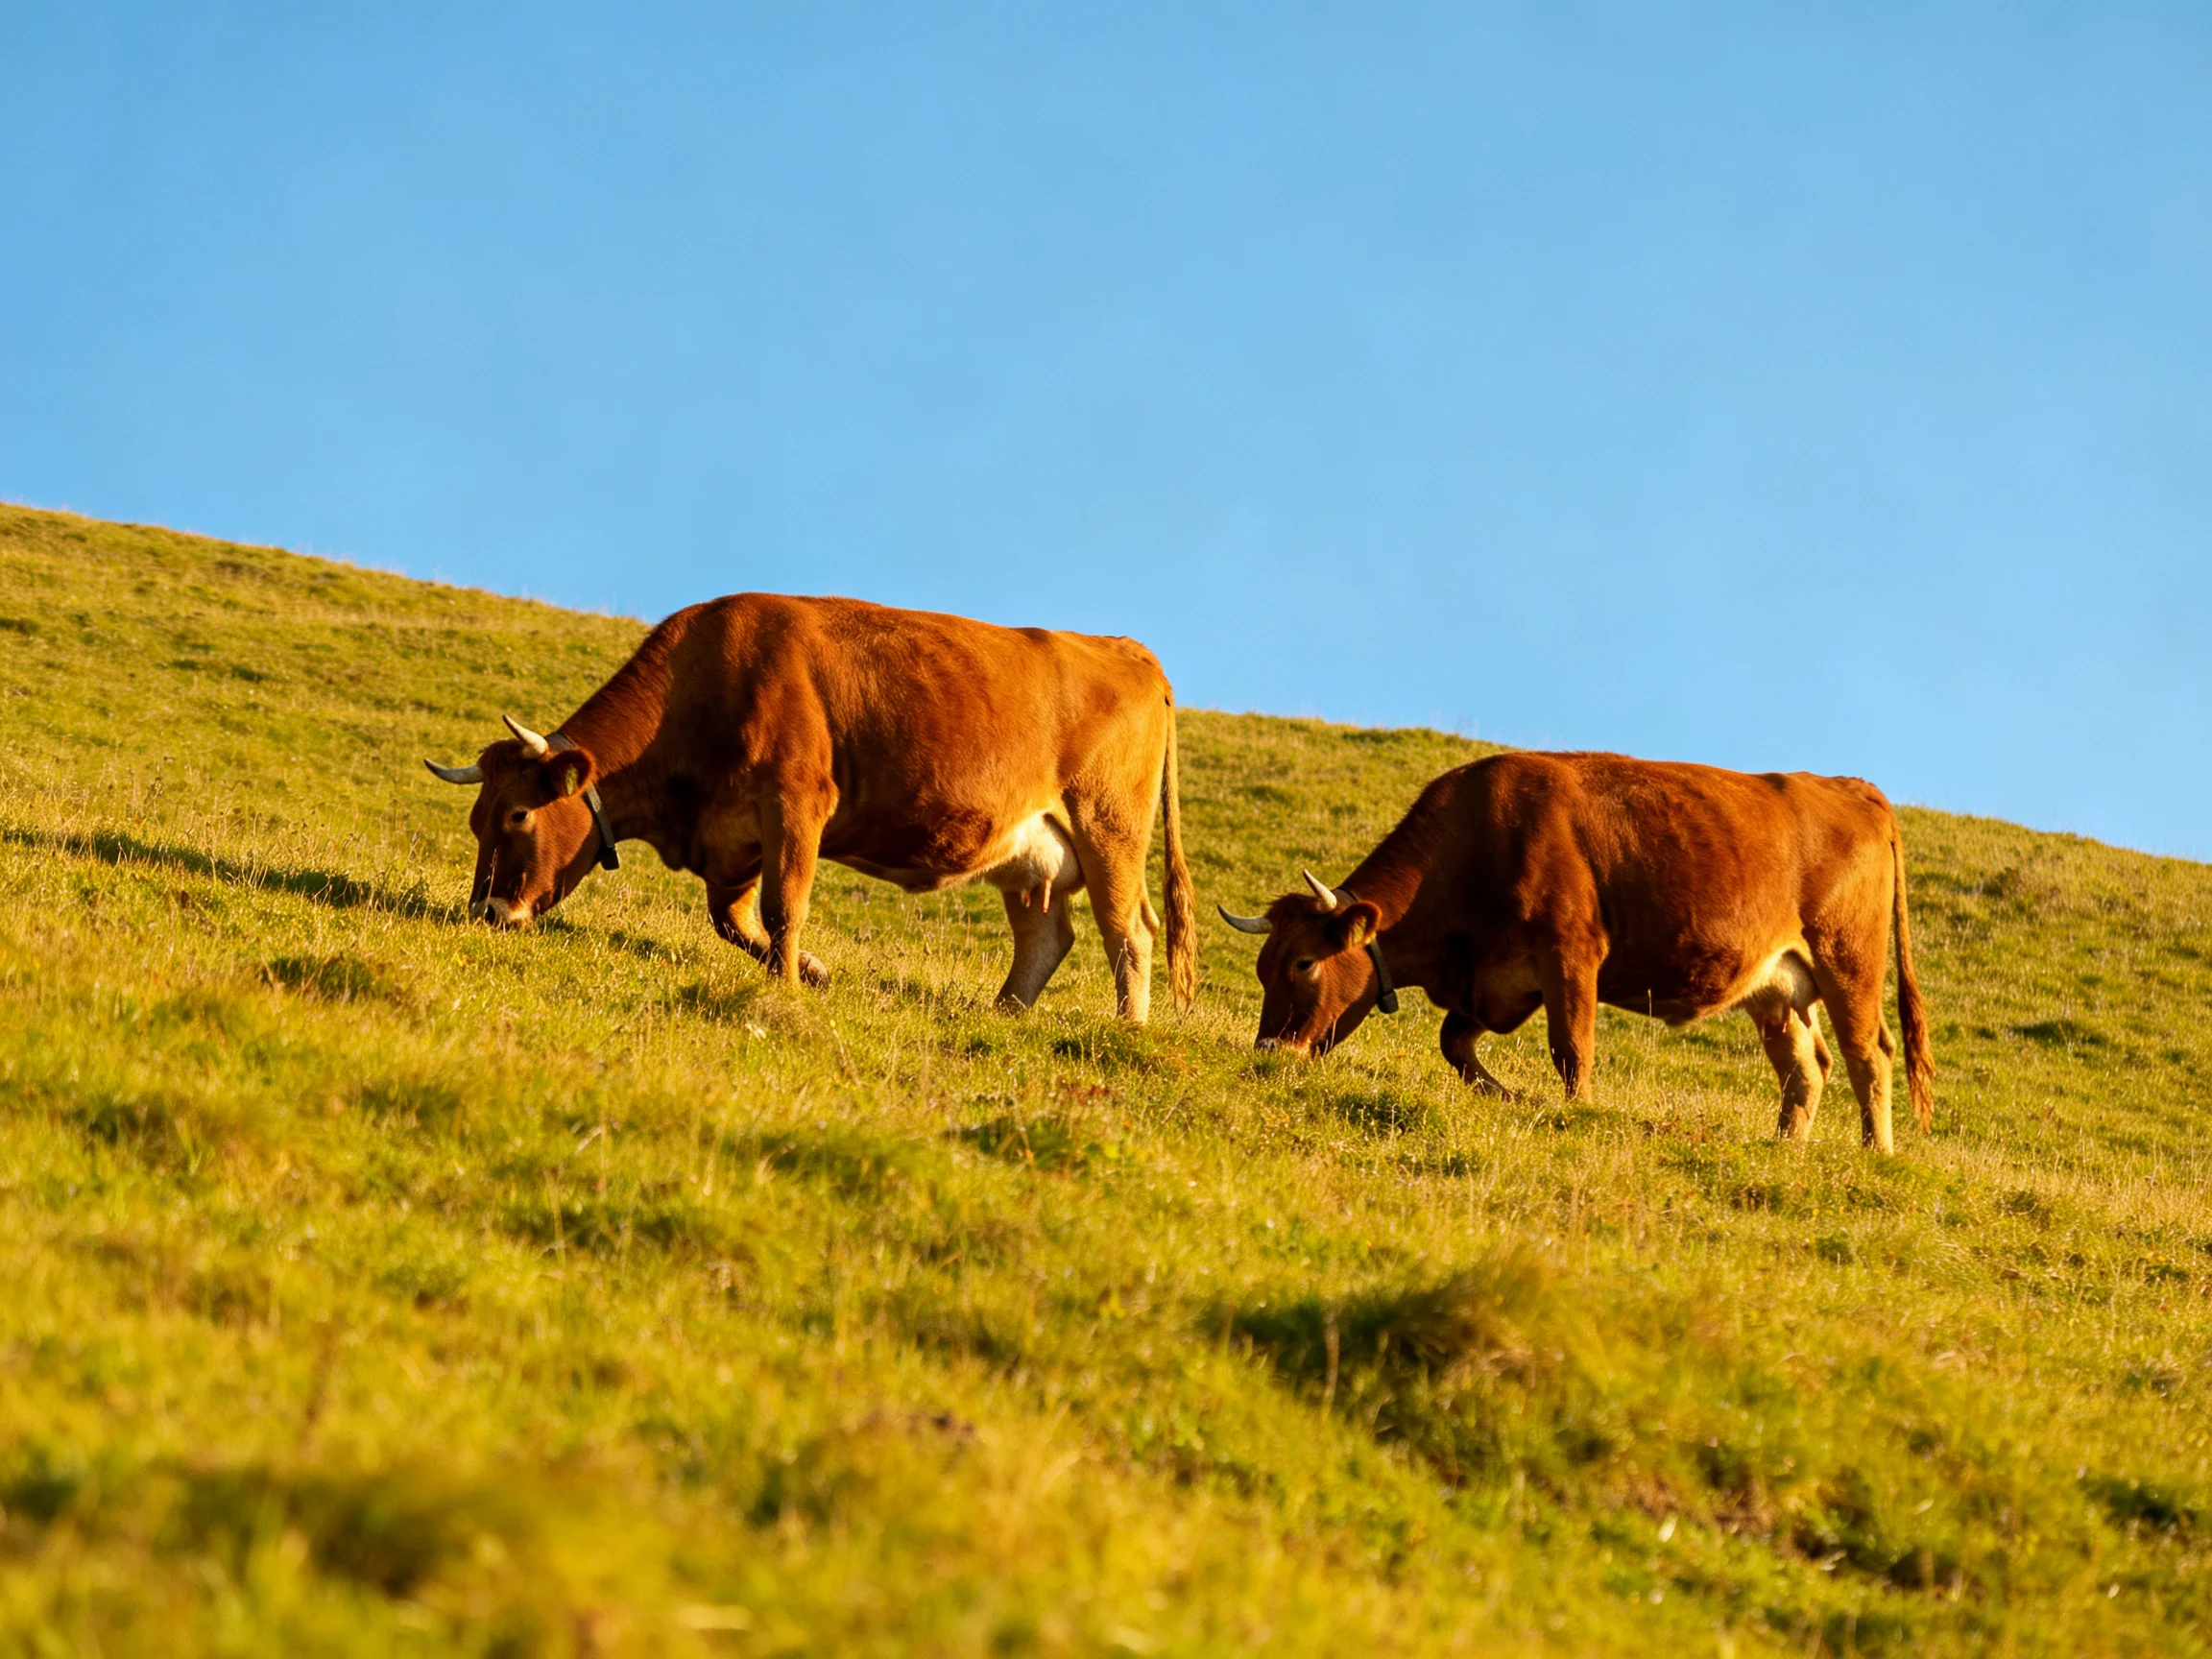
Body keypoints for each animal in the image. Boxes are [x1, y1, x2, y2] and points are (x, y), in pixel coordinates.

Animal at [425, 593, 1196, 1022]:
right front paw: (815, 972)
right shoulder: (734, 837)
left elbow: (781, 909)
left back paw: (1128, 1029)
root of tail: (1126, 648)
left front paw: (789, 985)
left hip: (1108, 828)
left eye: (518, 816)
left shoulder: (796, 802)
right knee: (1046, 936)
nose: (486, 911)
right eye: (476, 818)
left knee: (1130, 930)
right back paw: (1003, 1013)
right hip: (1032, 853)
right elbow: (730, 920)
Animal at [1217, 752, 1934, 1151]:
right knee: (1806, 1066)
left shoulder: (1571, 955)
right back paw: (1787, 1146)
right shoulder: (1498, 979)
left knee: (1869, 1055)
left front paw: (1577, 1110)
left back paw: (1876, 1151)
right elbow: (1454, 1045)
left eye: (1304, 963)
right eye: (1263, 967)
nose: (1269, 1050)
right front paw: (1507, 1096)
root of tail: (1849, 787)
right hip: (1777, 986)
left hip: (1848, 962)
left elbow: (1571, 1049)